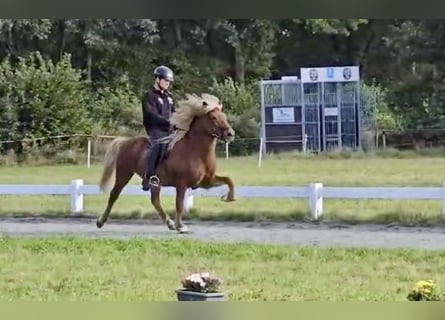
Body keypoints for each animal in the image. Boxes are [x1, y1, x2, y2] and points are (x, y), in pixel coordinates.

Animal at [94, 92, 236, 232]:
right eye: (213, 117)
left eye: (224, 116)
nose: (230, 134)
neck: (194, 151)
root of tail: (126, 141)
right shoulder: (182, 184)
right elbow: (179, 204)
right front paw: (180, 226)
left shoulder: (206, 182)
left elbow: (229, 180)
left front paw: (228, 198)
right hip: (124, 173)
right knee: (114, 194)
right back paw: (100, 221)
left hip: (155, 183)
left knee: (155, 200)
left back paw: (170, 223)